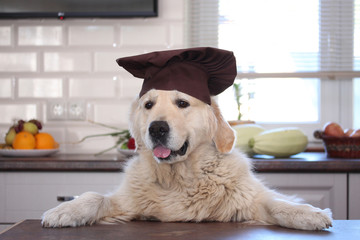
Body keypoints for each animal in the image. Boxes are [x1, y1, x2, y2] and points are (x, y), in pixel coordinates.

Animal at [41, 89, 332, 230]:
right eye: (148, 105)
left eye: (182, 103)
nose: (157, 128)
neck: (180, 177)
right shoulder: (128, 202)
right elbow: (93, 196)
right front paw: (65, 211)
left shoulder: (248, 199)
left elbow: (279, 204)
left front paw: (311, 214)